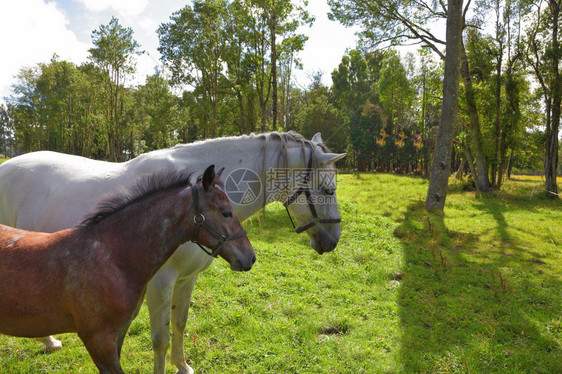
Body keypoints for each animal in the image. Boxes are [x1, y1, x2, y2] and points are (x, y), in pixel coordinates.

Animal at [0, 130, 344, 372]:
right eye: (328, 189)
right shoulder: (160, 283)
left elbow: (179, 325)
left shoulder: (187, 279)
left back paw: (47, 340)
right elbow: (160, 338)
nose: (332, 240)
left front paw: (183, 366)